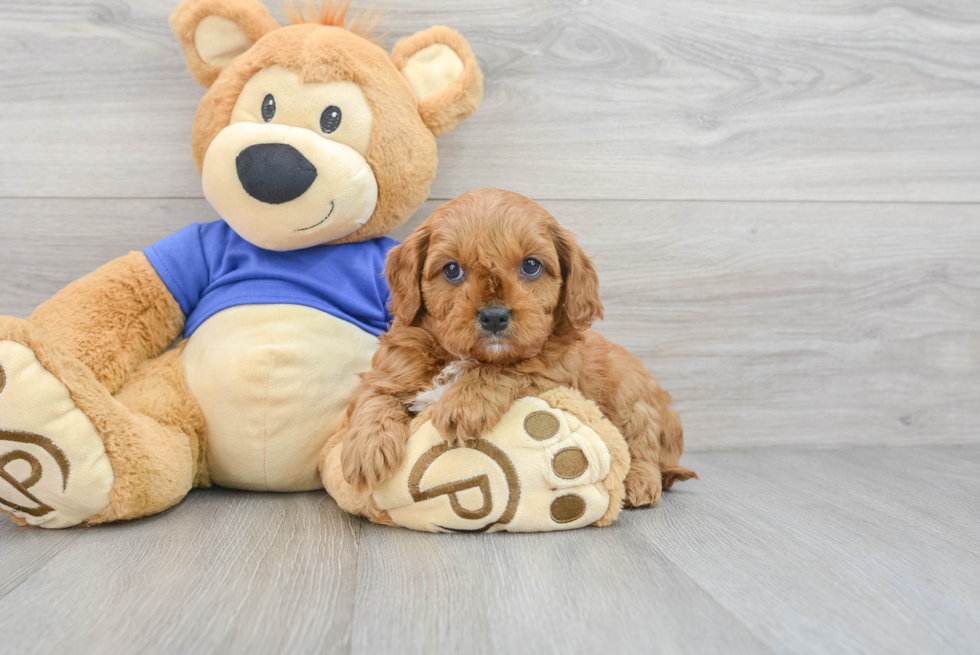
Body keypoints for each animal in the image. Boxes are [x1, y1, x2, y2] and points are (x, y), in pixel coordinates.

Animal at [340, 188, 692, 508]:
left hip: (632, 400)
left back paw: (640, 483)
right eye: (452, 269)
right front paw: (365, 452)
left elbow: (505, 370)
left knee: (643, 450)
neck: (460, 356)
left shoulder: (550, 376)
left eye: (531, 266)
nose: (494, 316)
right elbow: (374, 400)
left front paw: (462, 404)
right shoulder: (390, 372)